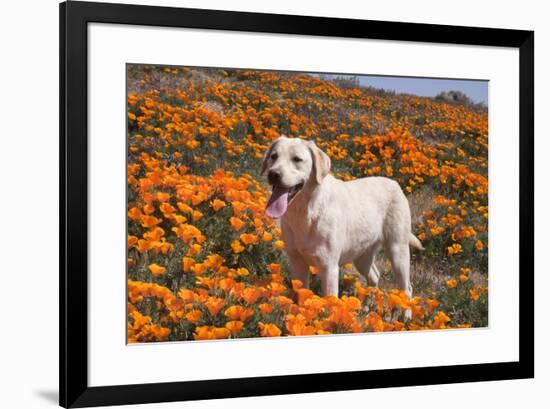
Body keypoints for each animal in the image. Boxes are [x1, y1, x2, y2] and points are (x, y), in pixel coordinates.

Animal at [262, 135, 422, 310]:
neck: (304, 212)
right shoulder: (297, 262)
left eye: (297, 159)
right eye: (274, 156)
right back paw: (365, 308)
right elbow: (302, 297)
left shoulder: (329, 267)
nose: (273, 174)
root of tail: (395, 183)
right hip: (362, 255)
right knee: (374, 276)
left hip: (398, 250)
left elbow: (330, 302)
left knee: (407, 289)